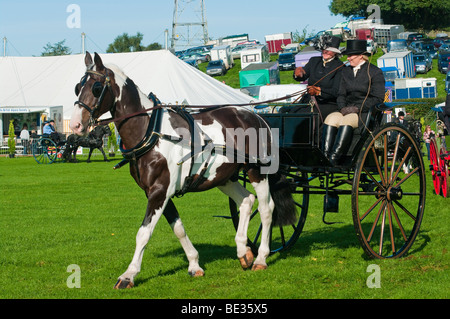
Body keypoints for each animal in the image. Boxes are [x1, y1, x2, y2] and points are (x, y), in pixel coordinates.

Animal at [68, 52, 298, 290]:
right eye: (77, 87)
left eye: (96, 87)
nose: (75, 125)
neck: (151, 132)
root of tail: (257, 116)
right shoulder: (158, 192)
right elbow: (178, 228)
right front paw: (194, 264)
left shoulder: (159, 191)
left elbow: (143, 233)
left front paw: (128, 275)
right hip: (224, 177)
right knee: (246, 201)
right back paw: (244, 252)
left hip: (257, 171)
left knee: (266, 209)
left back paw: (261, 258)